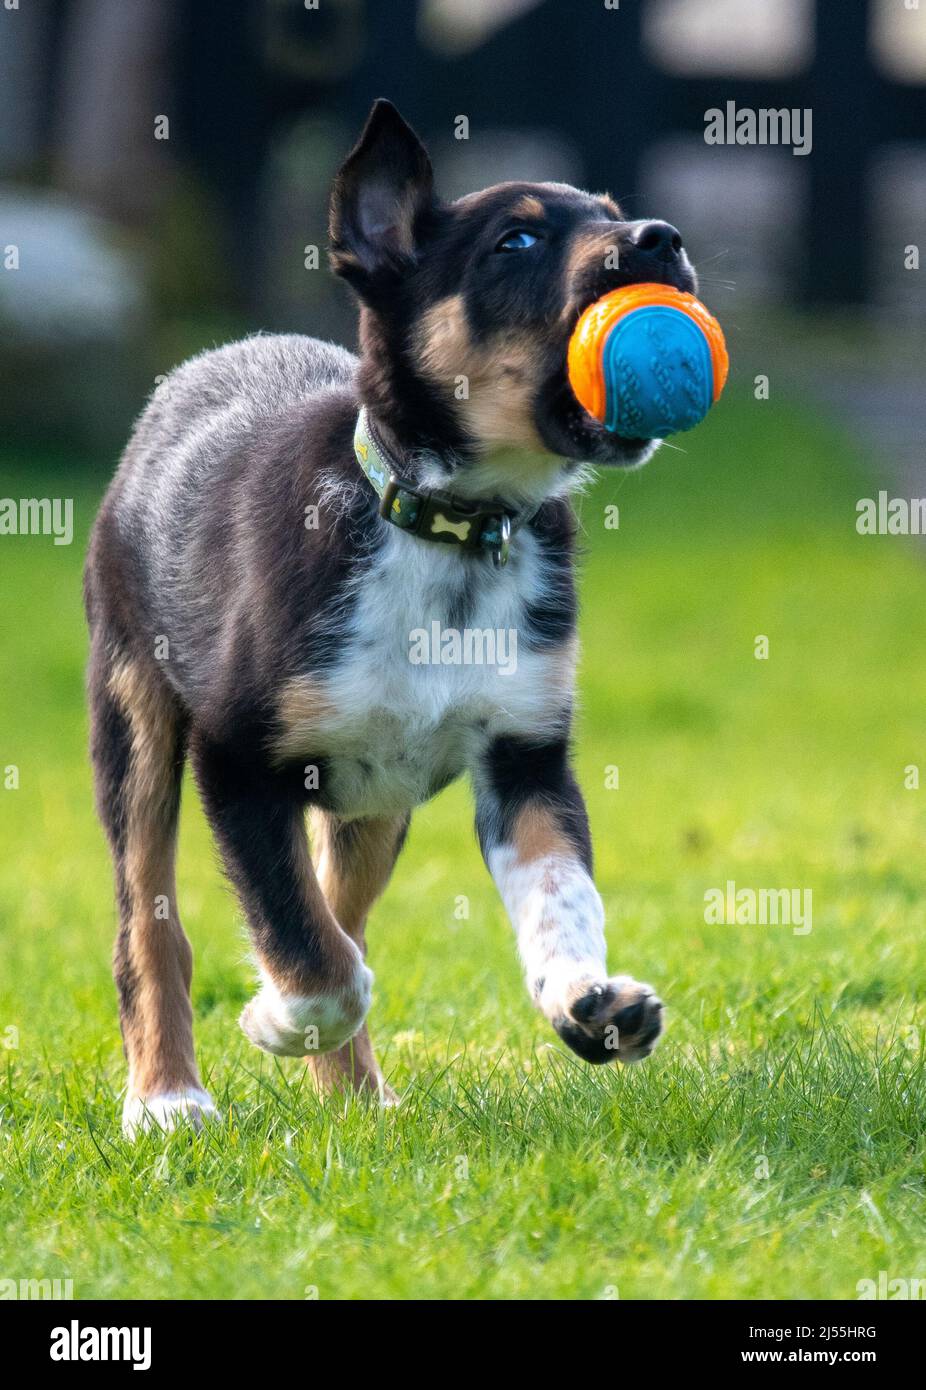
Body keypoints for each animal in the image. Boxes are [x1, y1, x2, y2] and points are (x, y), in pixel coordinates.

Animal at [84, 100, 692, 1139]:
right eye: (516, 240)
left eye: (615, 214)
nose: (663, 239)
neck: (450, 528)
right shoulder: (236, 756)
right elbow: (304, 940)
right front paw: (276, 1019)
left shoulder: (527, 755)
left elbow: (561, 891)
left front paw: (587, 1001)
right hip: (137, 715)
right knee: (150, 922)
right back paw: (168, 1098)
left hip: (377, 797)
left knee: (347, 907)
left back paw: (357, 1097)